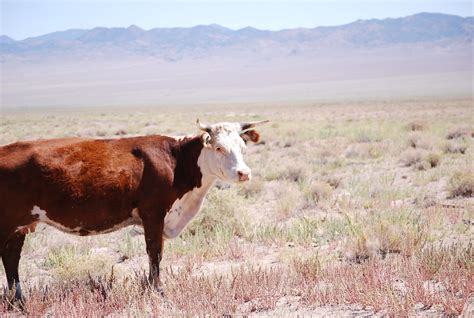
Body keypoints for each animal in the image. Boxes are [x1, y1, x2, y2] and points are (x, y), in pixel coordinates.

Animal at [0, 118, 266, 300]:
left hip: (20, 225)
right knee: (9, 257)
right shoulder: (153, 214)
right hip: (9, 222)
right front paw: (157, 289)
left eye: (243, 148)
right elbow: (155, 253)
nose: (244, 173)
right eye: (219, 148)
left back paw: (19, 300)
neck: (176, 161)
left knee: (12, 258)